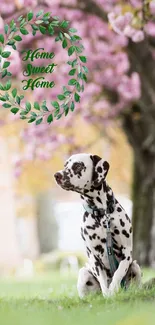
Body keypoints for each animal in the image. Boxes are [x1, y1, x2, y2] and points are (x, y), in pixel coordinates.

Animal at [54, 153, 142, 298]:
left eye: (77, 165)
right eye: (65, 165)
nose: (57, 175)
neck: (102, 215)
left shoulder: (127, 253)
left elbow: (118, 273)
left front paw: (113, 289)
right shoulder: (94, 257)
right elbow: (103, 282)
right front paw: (108, 295)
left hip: (135, 266)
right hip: (83, 273)